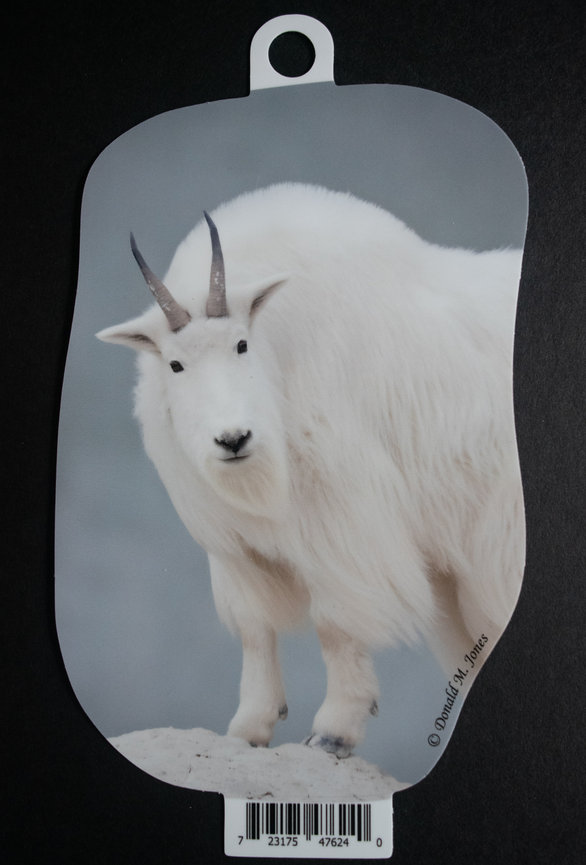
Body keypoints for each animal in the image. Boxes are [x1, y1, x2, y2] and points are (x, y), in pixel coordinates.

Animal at [97, 183, 524, 757]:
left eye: (241, 343)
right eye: (175, 364)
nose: (233, 439)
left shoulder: (344, 524)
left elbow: (334, 625)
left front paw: (333, 731)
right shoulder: (237, 545)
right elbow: (254, 628)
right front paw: (250, 726)